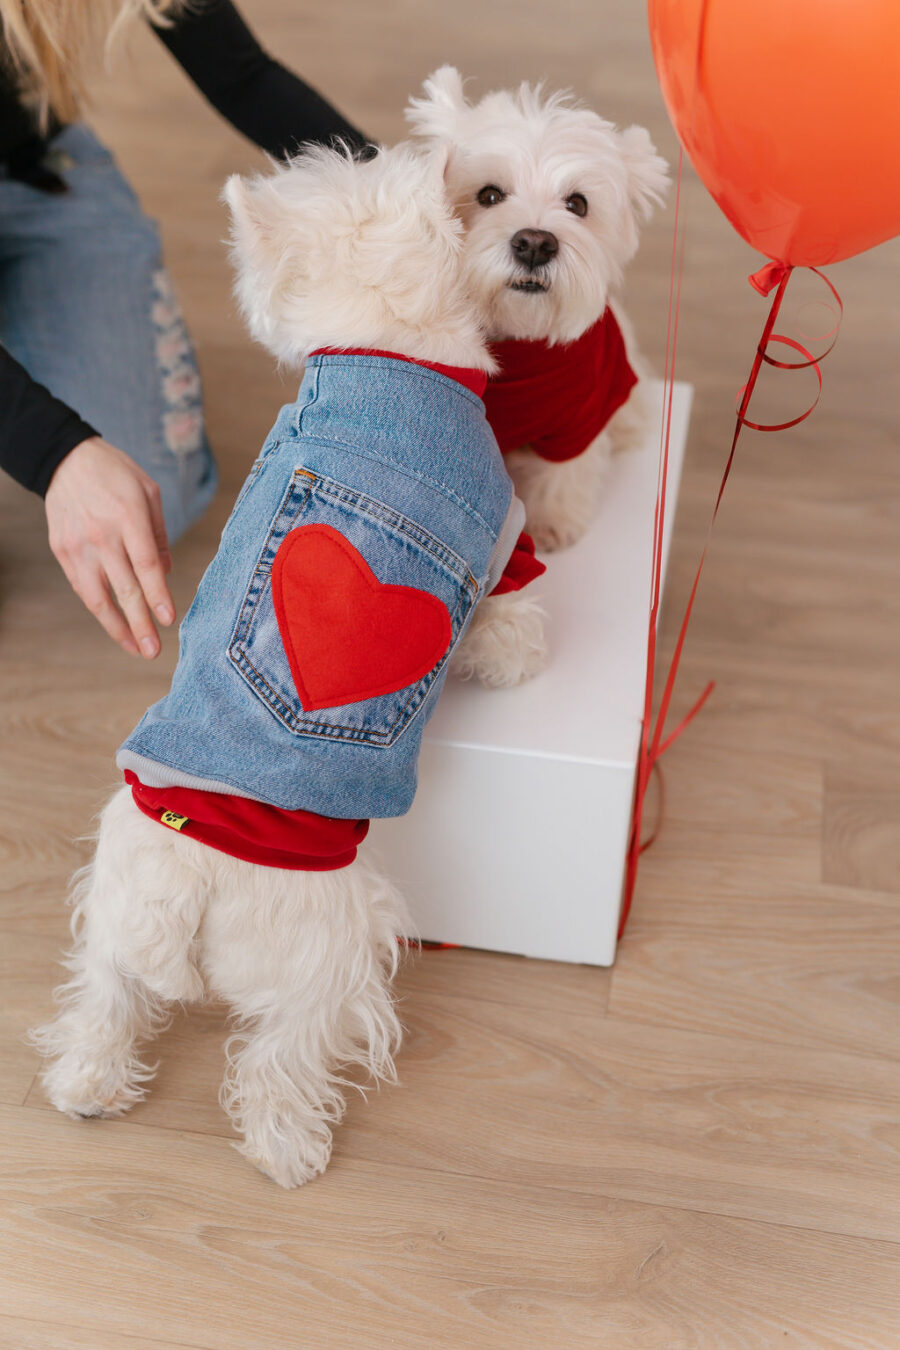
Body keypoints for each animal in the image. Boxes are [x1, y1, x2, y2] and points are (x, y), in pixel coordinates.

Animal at [31, 142, 545, 1188]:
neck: (392, 350)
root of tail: (193, 869)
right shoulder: (500, 530)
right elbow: (511, 609)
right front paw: (519, 653)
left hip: (115, 895)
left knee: (106, 993)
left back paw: (87, 1088)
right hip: (328, 950)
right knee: (282, 1055)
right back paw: (290, 1151)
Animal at [407, 67, 669, 553]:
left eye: (578, 204)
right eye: (489, 195)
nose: (534, 244)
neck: (520, 339)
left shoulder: (582, 414)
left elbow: (564, 471)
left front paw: (551, 522)